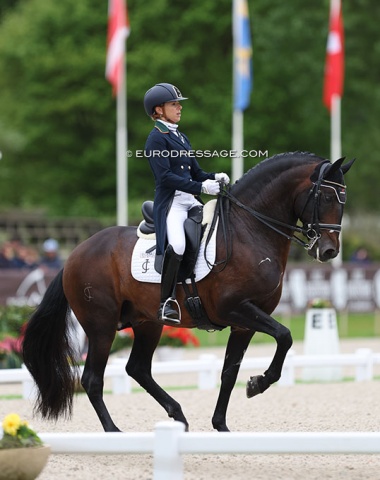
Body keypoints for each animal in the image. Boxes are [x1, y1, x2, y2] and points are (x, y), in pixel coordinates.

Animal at [21, 152, 354, 434]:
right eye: (325, 196)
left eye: (344, 199)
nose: (329, 251)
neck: (250, 230)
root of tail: (74, 254)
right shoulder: (237, 309)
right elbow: (284, 336)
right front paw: (258, 384)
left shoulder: (244, 323)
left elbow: (229, 372)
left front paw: (222, 424)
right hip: (101, 326)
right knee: (92, 379)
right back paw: (115, 432)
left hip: (147, 323)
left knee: (137, 368)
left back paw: (178, 416)